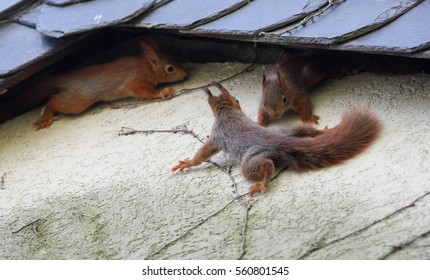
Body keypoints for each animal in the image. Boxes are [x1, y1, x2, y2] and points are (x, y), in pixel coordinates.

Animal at [0, 38, 187, 130]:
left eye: (177, 58)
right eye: (170, 68)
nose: (185, 74)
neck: (145, 66)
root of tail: (65, 78)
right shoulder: (135, 81)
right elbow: (144, 92)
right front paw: (163, 92)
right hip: (78, 101)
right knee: (53, 100)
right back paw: (46, 116)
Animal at [171, 83, 380, 196]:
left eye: (237, 100)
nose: (239, 104)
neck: (227, 112)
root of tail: (278, 141)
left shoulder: (217, 134)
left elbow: (204, 152)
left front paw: (188, 163)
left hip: (251, 159)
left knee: (264, 165)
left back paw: (262, 183)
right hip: (289, 131)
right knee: (306, 130)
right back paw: (325, 131)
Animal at [258, 50, 430, 126]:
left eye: (284, 100)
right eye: (265, 103)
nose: (275, 115)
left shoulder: (297, 92)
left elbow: (305, 104)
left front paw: (308, 117)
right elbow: (260, 111)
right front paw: (261, 121)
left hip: (313, 73)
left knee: (325, 69)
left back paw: (341, 70)